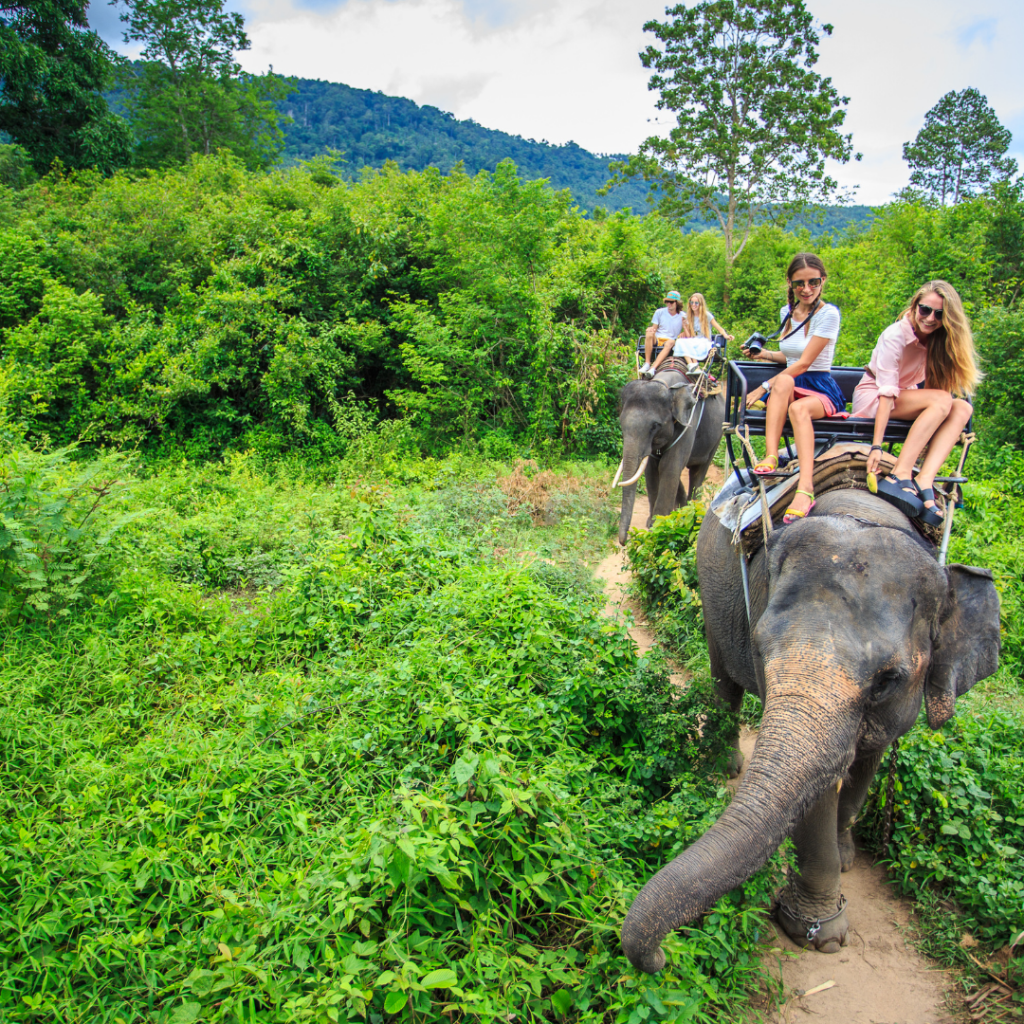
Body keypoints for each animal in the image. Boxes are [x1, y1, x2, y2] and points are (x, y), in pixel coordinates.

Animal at [610, 366, 724, 544]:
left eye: (655, 426)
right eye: (621, 423)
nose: (624, 542)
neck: (664, 383)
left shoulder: (688, 423)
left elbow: (669, 467)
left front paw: (659, 526)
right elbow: (651, 469)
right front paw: (653, 523)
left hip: (717, 435)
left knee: (698, 471)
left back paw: (693, 511)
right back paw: (682, 509)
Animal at [618, 487, 1003, 966]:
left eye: (888, 680)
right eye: (761, 648)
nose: (661, 957)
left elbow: (868, 762)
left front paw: (847, 856)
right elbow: (818, 794)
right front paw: (821, 936)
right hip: (710, 583)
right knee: (723, 673)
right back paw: (725, 766)